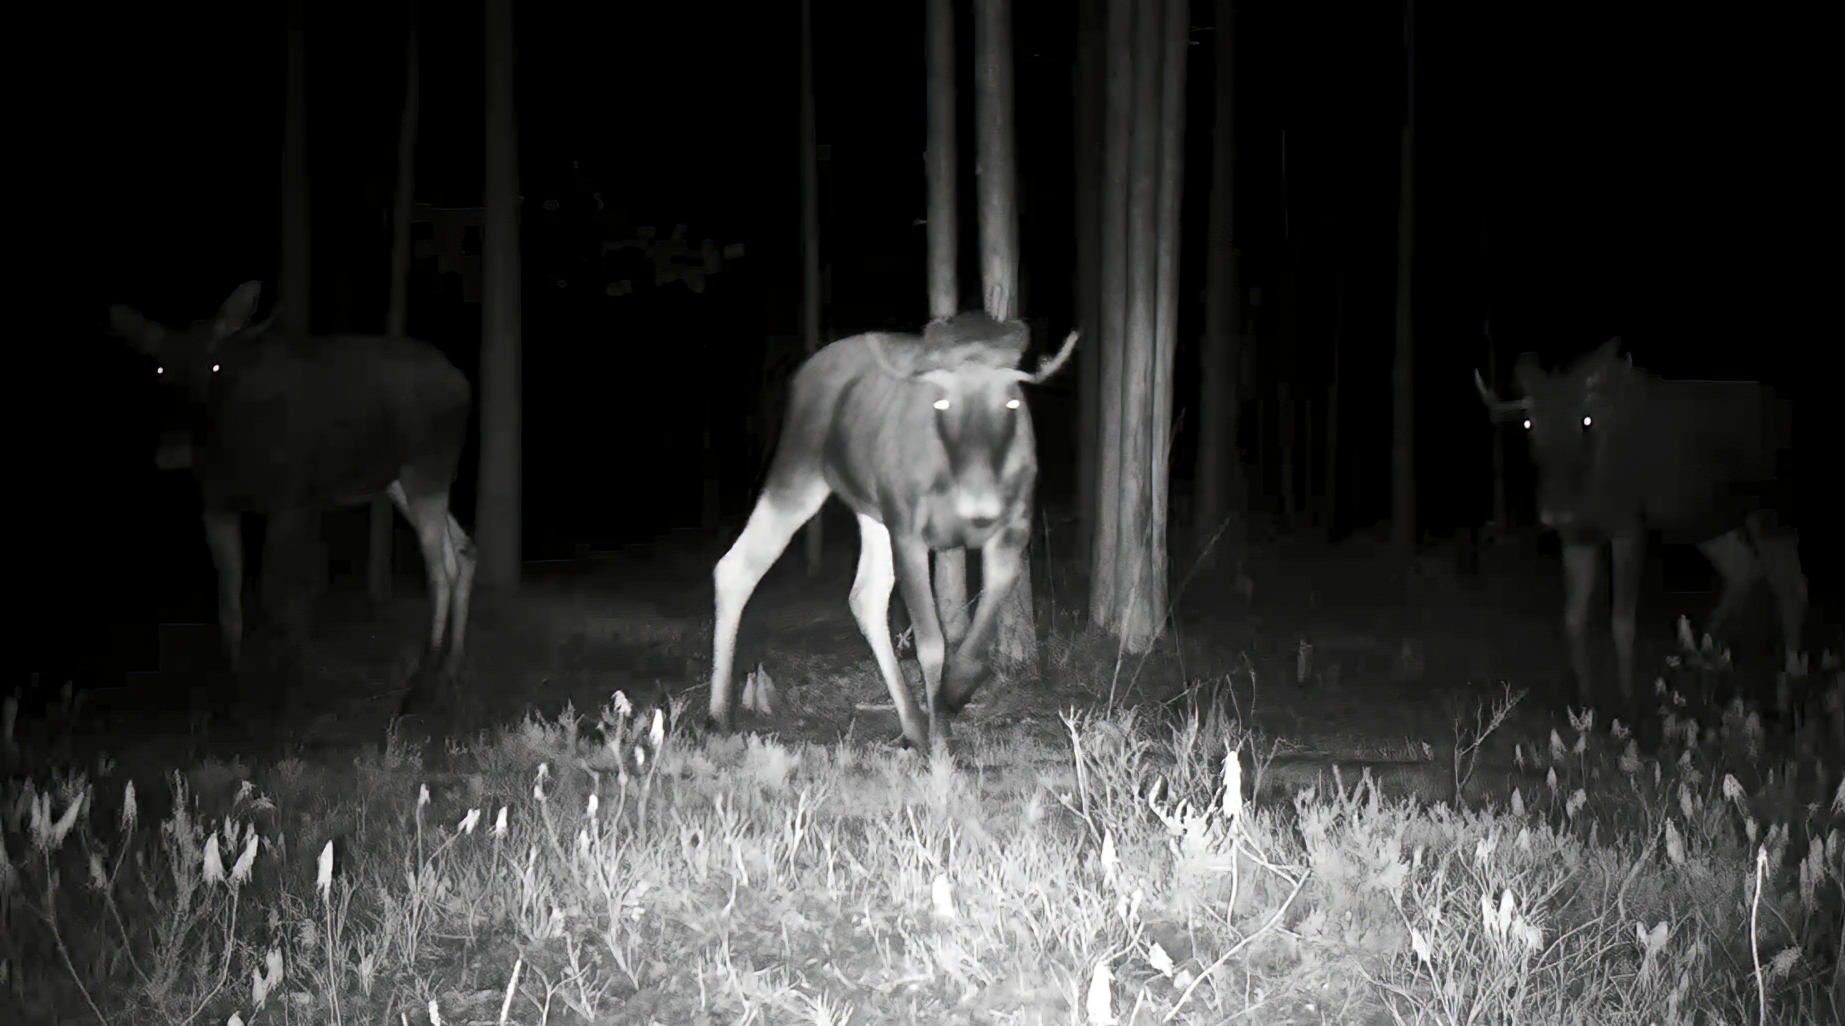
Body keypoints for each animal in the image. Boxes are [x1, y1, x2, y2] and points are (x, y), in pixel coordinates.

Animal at [109, 278, 476, 704]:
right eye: (159, 367)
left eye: (215, 364)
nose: (174, 448)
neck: (230, 447)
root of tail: (464, 384)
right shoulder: (216, 505)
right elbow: (228, 605)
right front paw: (232, 689)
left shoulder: (291, 500)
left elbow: (279, 600)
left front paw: (281, 688)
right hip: (398, 482)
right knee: (464, 548)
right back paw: (450, 669)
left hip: (426, 470)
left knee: (442, 567)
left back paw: (425, 679)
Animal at [708, 308, 1077, 749]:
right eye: (941, 399)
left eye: (1011, 400)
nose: (980, 506)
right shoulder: (908, 530)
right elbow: (931, 642)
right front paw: (941, 743)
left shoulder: (1014, 529)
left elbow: (978, 640)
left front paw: (953, 694)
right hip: (798, 471)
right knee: (737, 565)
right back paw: (719, 715)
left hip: (873, 510)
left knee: (864, 594)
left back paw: (913, 724)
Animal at [1476, 335, 1808, 704]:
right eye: (1529, 422)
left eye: (1586, 419)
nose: (1557, 509)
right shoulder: (1578, 535)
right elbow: (1573, 619)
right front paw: (1584, 699)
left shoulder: (1629, 528)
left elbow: (1622, 621)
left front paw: (1627, 699)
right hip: (1708, 523)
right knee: (1745, 570)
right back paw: (1706, 654)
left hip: (1771, 514)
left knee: (1790, 585)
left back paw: (1788, 672)